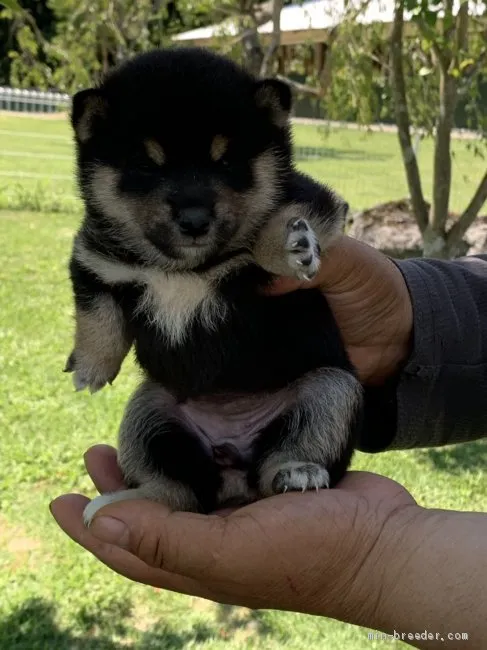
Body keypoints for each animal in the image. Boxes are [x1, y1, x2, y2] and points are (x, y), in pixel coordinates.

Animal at [63, 46, 362, 520]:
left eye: (227, 161)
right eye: (145, 165)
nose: (194, 219)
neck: (185, 270)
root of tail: (233, 474)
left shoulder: (317, 201)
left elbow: (273, 224)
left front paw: (289, 246)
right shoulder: (95, 259)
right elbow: (97, 313)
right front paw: (91, 367)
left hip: (329, 390)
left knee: (280, 461)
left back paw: (298, 472)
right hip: (151, 413)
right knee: (182, 490)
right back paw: (131, 497)